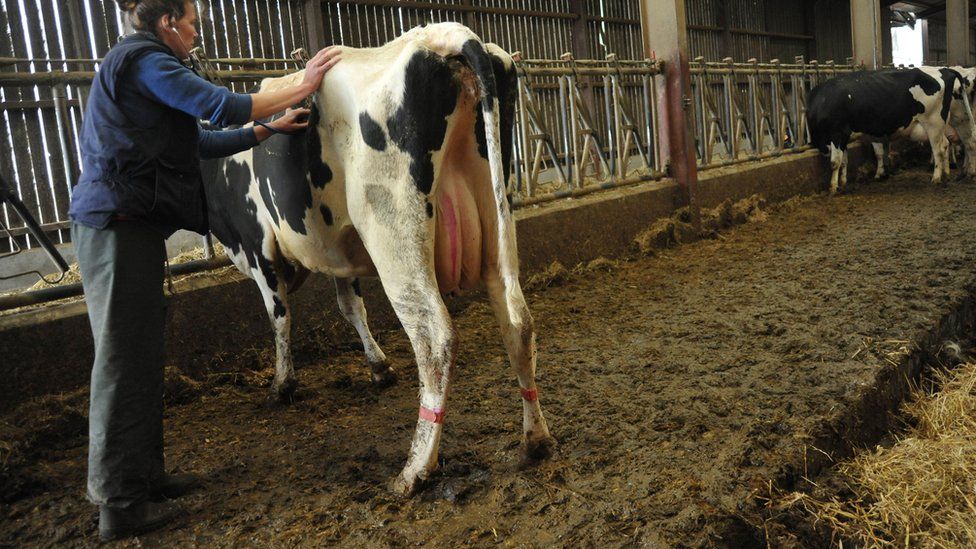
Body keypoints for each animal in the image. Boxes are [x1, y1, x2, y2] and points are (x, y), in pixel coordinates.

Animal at [204, 21, 556, 494]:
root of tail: (448, 35)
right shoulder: (339, 249)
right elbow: (351, 306)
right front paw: (379, 367)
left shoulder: (258, 246)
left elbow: (279, 317)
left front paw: (282, 385)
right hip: (497, 215)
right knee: (517, 321)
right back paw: (534, 440)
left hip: (393, 233)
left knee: (435, 336)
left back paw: (416, 469)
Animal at [800, 66, 976, 193]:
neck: (823, 101)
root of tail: (944, 69)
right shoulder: (844, 138)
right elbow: (845, 161)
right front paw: (843, 183)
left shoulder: (838, 132)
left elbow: (835, 162)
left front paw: (833, 187)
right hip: (960, 118)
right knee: (968, 142)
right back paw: (963, 173)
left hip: (933, 122)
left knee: (940, 148)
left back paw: (937, 178)